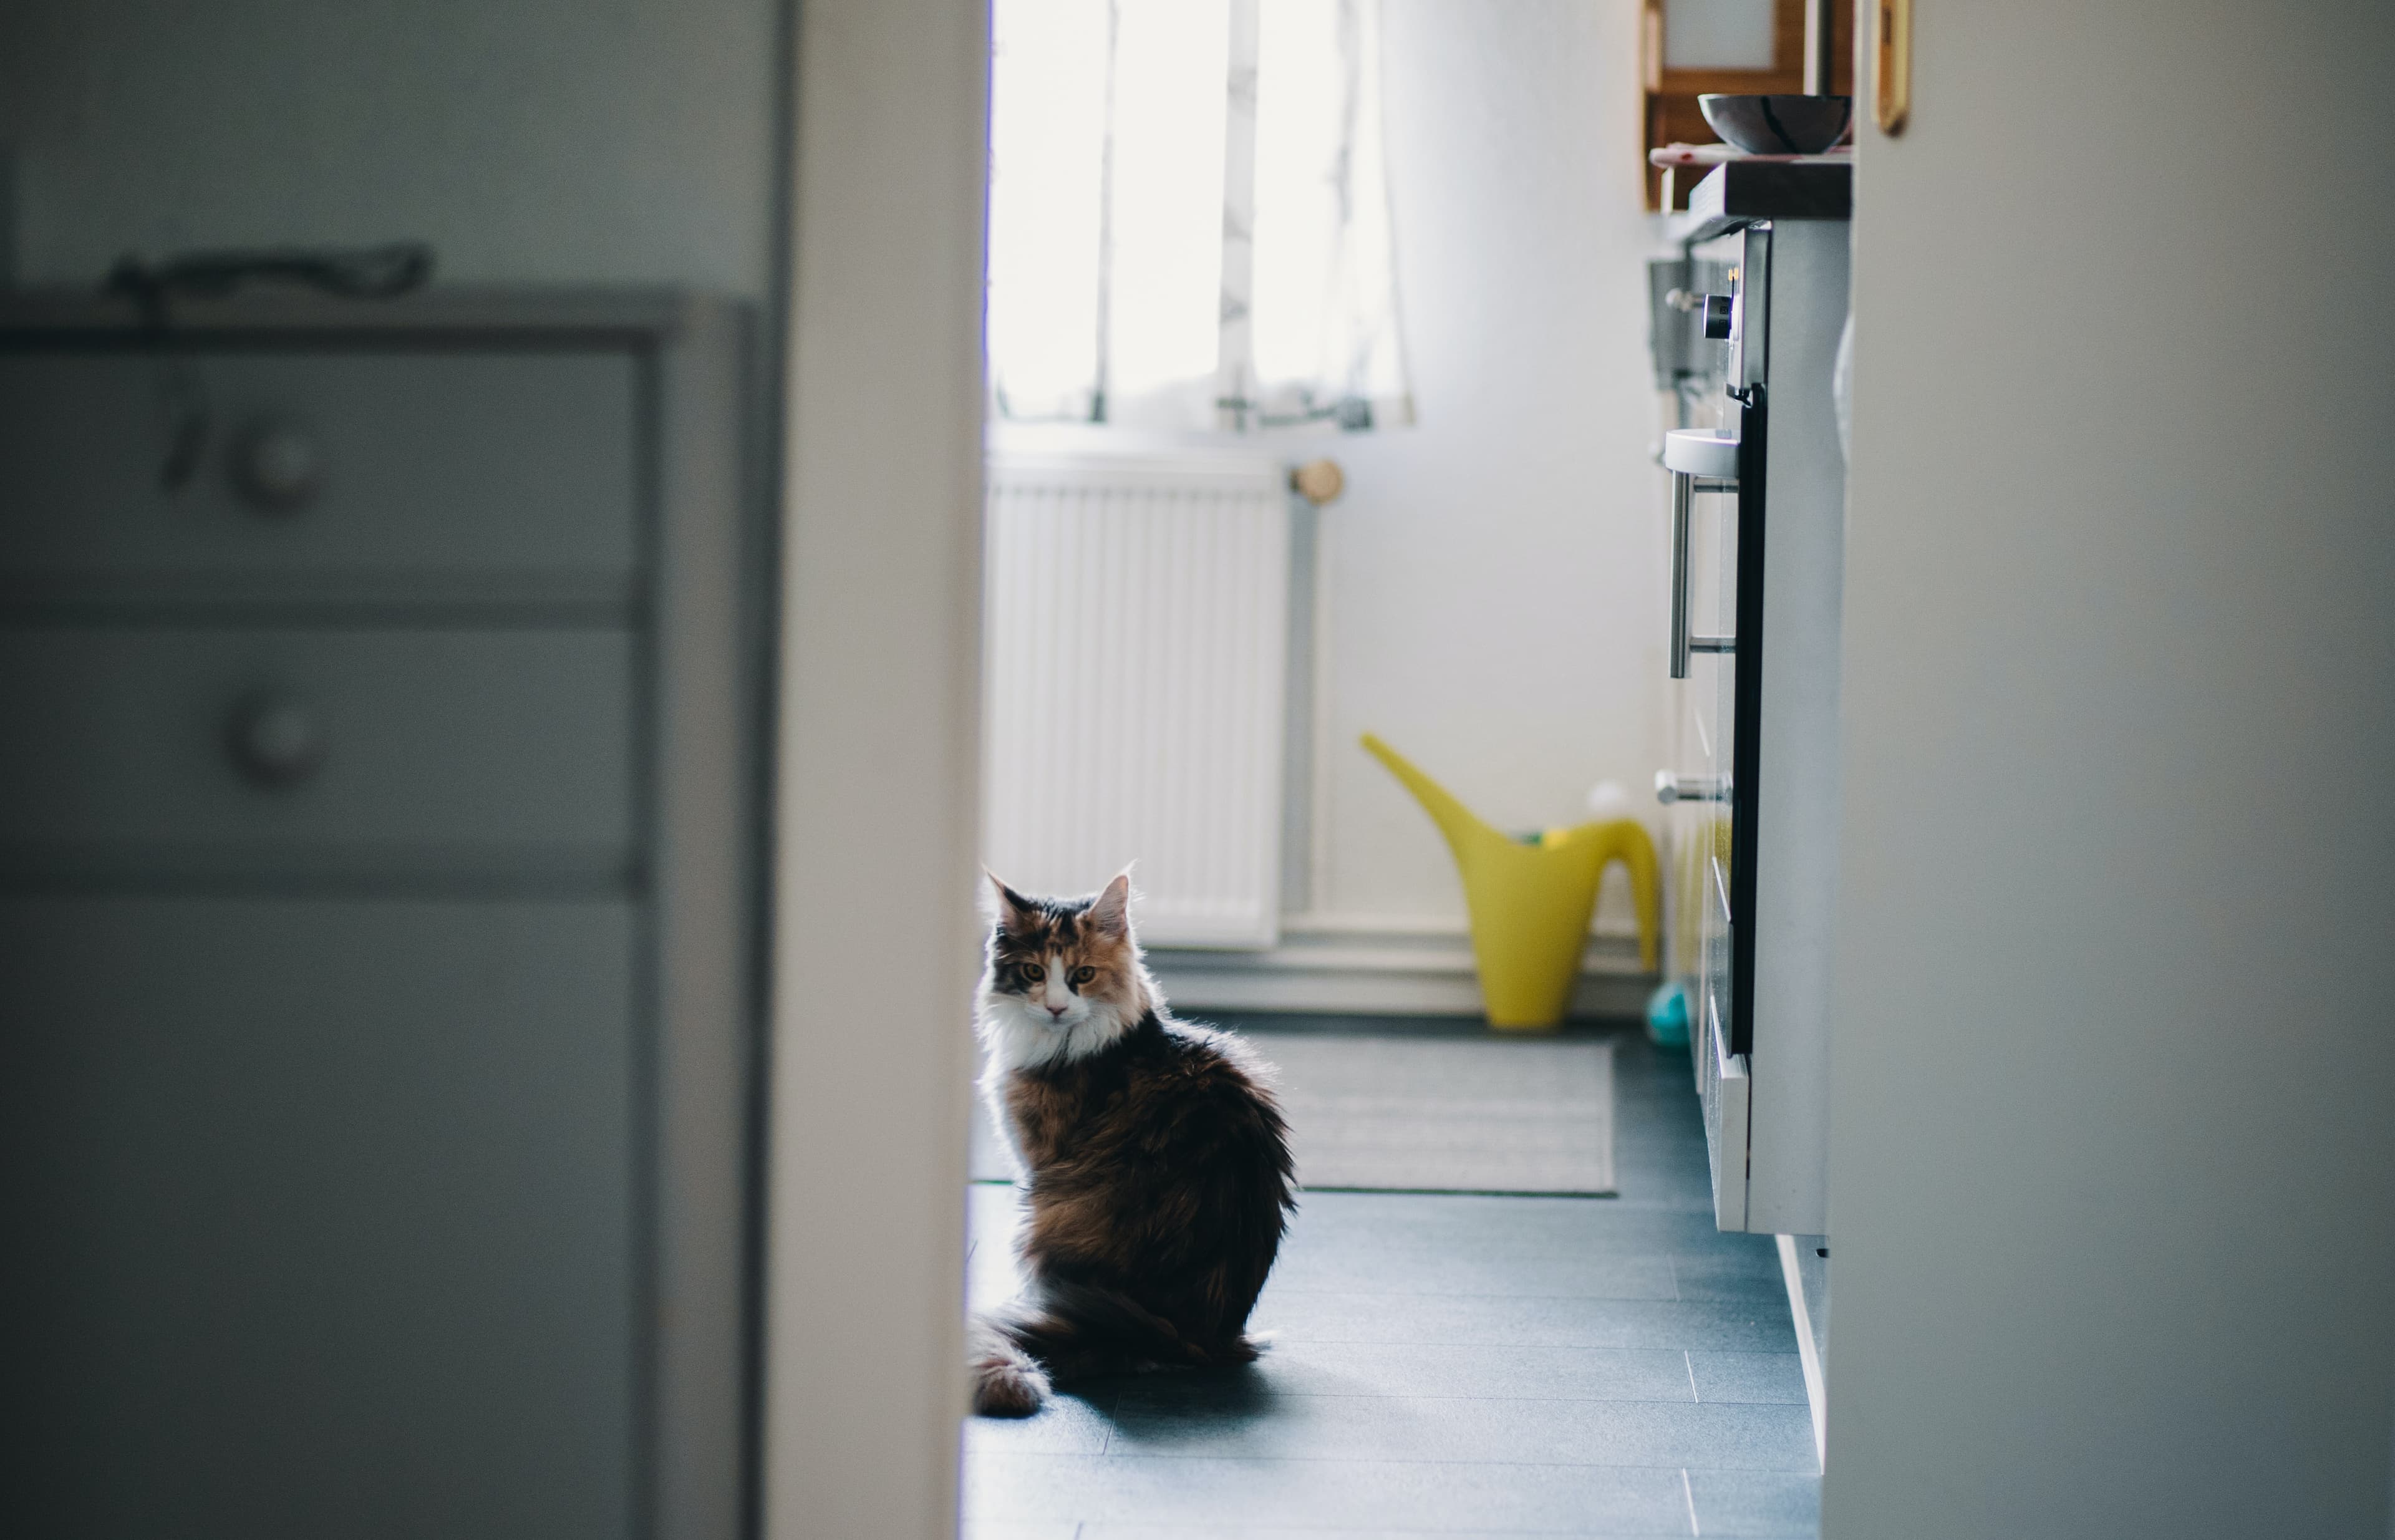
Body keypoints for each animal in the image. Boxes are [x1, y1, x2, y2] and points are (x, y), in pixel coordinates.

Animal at [967, 867, 1293, 1418]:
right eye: (1033, 972)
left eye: (1082, 974)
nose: (1056, 1007)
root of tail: (1192, 1334)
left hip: (1039, 1214)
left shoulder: (1035, 1158)